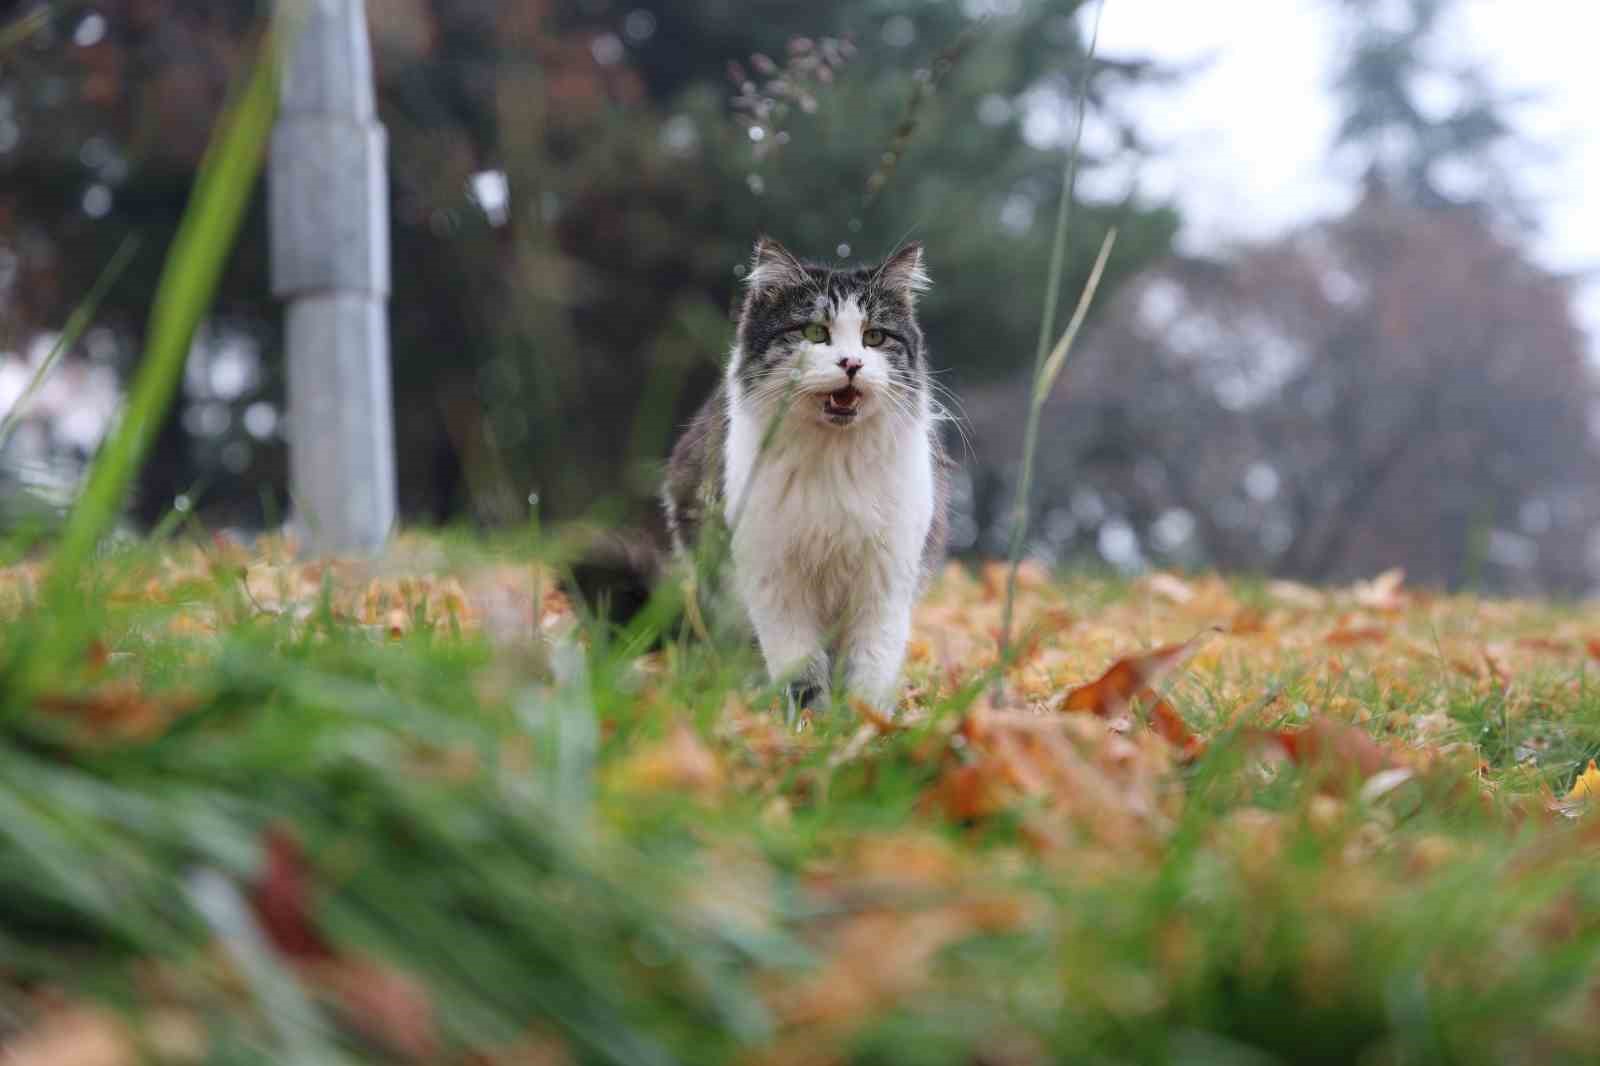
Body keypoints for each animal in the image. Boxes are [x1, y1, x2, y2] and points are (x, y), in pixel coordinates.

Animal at [662, 236, 947, 710]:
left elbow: (871, 666)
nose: (851, 363)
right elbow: (802, 668)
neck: (835, 461)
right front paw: (810, 720)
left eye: (874, 337)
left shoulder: (885, 581)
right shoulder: (775, 579)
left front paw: (864, 722)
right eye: (815, 333)